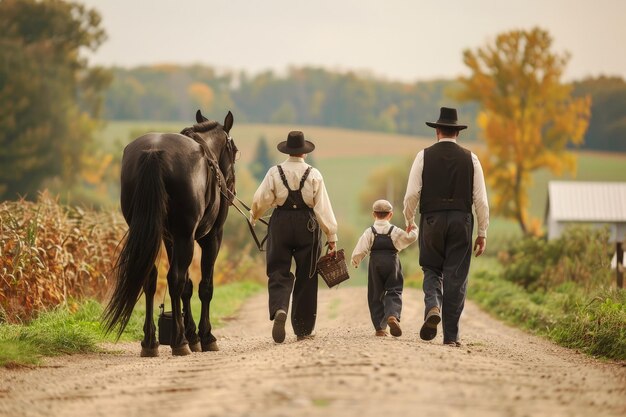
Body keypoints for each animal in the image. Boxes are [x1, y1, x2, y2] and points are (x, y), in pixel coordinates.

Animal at [102, 109, 236, 354]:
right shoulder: (210, 237)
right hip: (187, 237)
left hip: (153, 235)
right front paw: (204, 336)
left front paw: (193, 335)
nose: (231, 192)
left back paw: (150, 341)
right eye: (235, 151)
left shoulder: (171, 239)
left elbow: (187, 287)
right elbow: (204, 286)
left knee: (150, 278)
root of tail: (154, 152)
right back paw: (179, 341)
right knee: (175, 279)